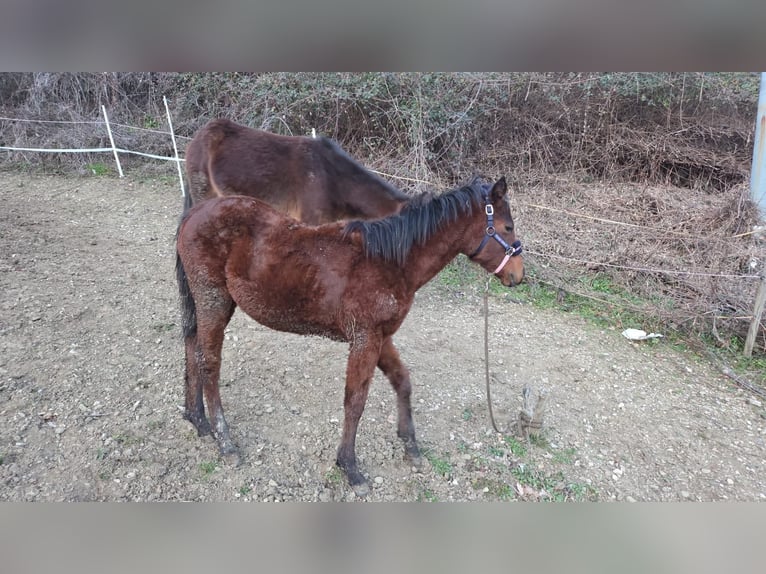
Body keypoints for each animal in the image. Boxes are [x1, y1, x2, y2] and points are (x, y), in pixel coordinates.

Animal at [175, 176, 524, 496]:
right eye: (507, 227)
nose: (518, 276)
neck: (391, 261)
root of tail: (195, 213)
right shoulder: (364, 339)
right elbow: (355, 402)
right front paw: (350, 468)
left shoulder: (381, 338)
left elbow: (402, 382)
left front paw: (410, 447)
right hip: (214, 300)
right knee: (209, 363)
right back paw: (225, 441)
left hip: (205, 302)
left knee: (191, 346)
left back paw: (197, 419)